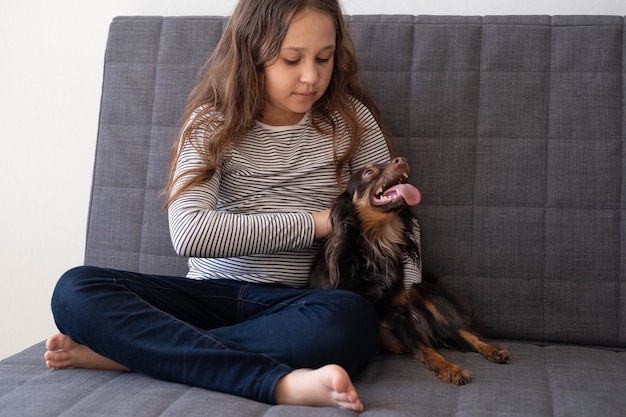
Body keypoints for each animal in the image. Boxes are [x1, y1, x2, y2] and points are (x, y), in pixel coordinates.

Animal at [308, 156, 508, 384]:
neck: (376, 245)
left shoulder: (399, 312)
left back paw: (492, 350)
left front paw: (448, 368)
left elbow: (425, 347)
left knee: (464, 332)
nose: (401, 159)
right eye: (368, 172)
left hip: (423, 293)